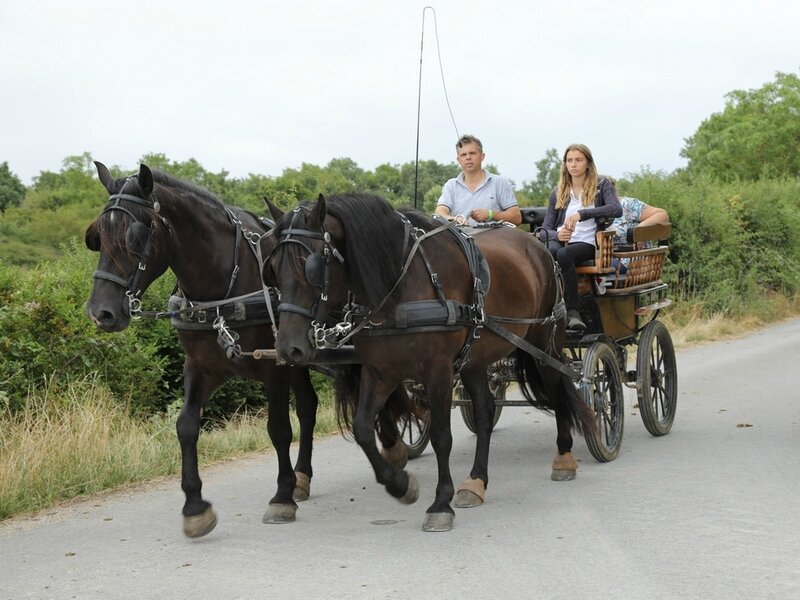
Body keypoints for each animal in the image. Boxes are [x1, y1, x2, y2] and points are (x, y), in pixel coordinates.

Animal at [84, 162, 322, 536]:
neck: (223, 285)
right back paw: (302, 476)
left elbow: (279, 429)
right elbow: (186, 426)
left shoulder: (275, 367)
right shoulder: (200, 366)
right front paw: (195, 506)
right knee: (309, 406)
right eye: (97, 237)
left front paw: (281, 497)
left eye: (135, 237)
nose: (101, 313)